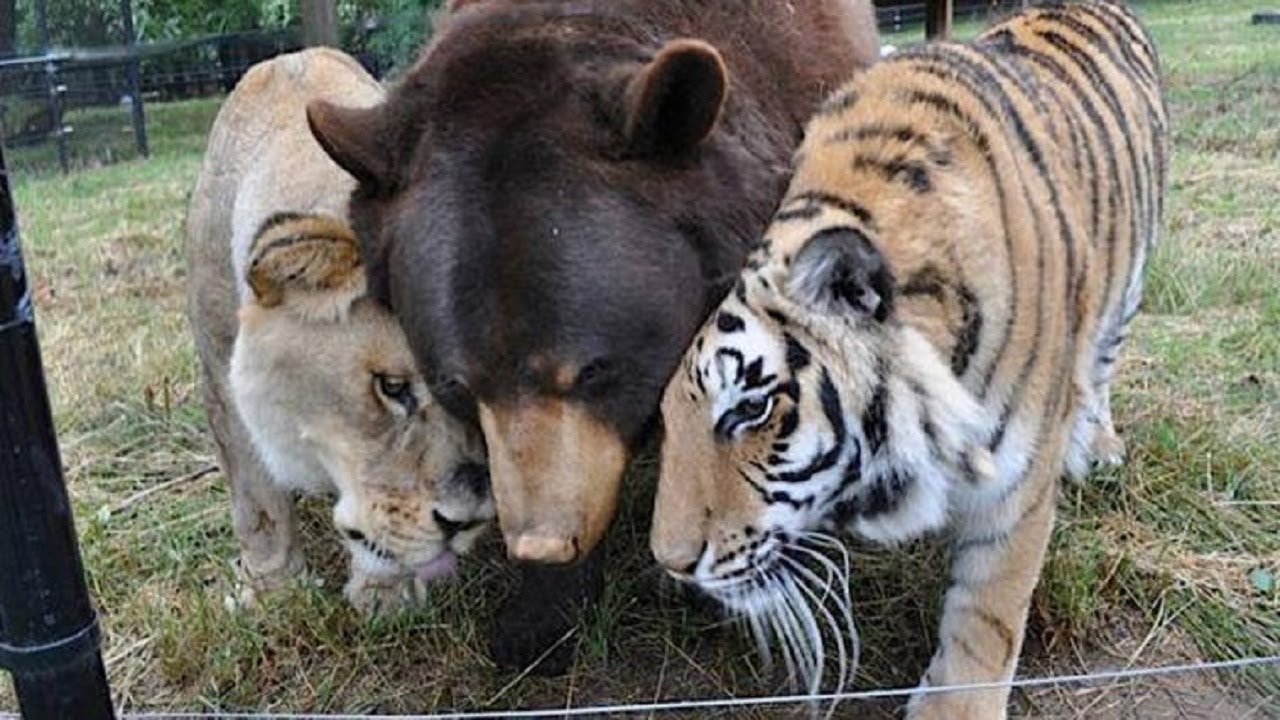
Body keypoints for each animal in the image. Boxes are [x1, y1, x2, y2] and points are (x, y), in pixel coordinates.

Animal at [185, 47, 494, 612]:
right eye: (391, 387)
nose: (468, 522)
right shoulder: (220, 376)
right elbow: (257, 502)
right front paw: (274, 593)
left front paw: (385, 594)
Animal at [650, 2, 1168, 717]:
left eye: (749, 409)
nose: (669, 564)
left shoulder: (1017, 484)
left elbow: (987, 614)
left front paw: (956, 706)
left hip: (1130, 285)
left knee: (1102, 365)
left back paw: (1100, 445)